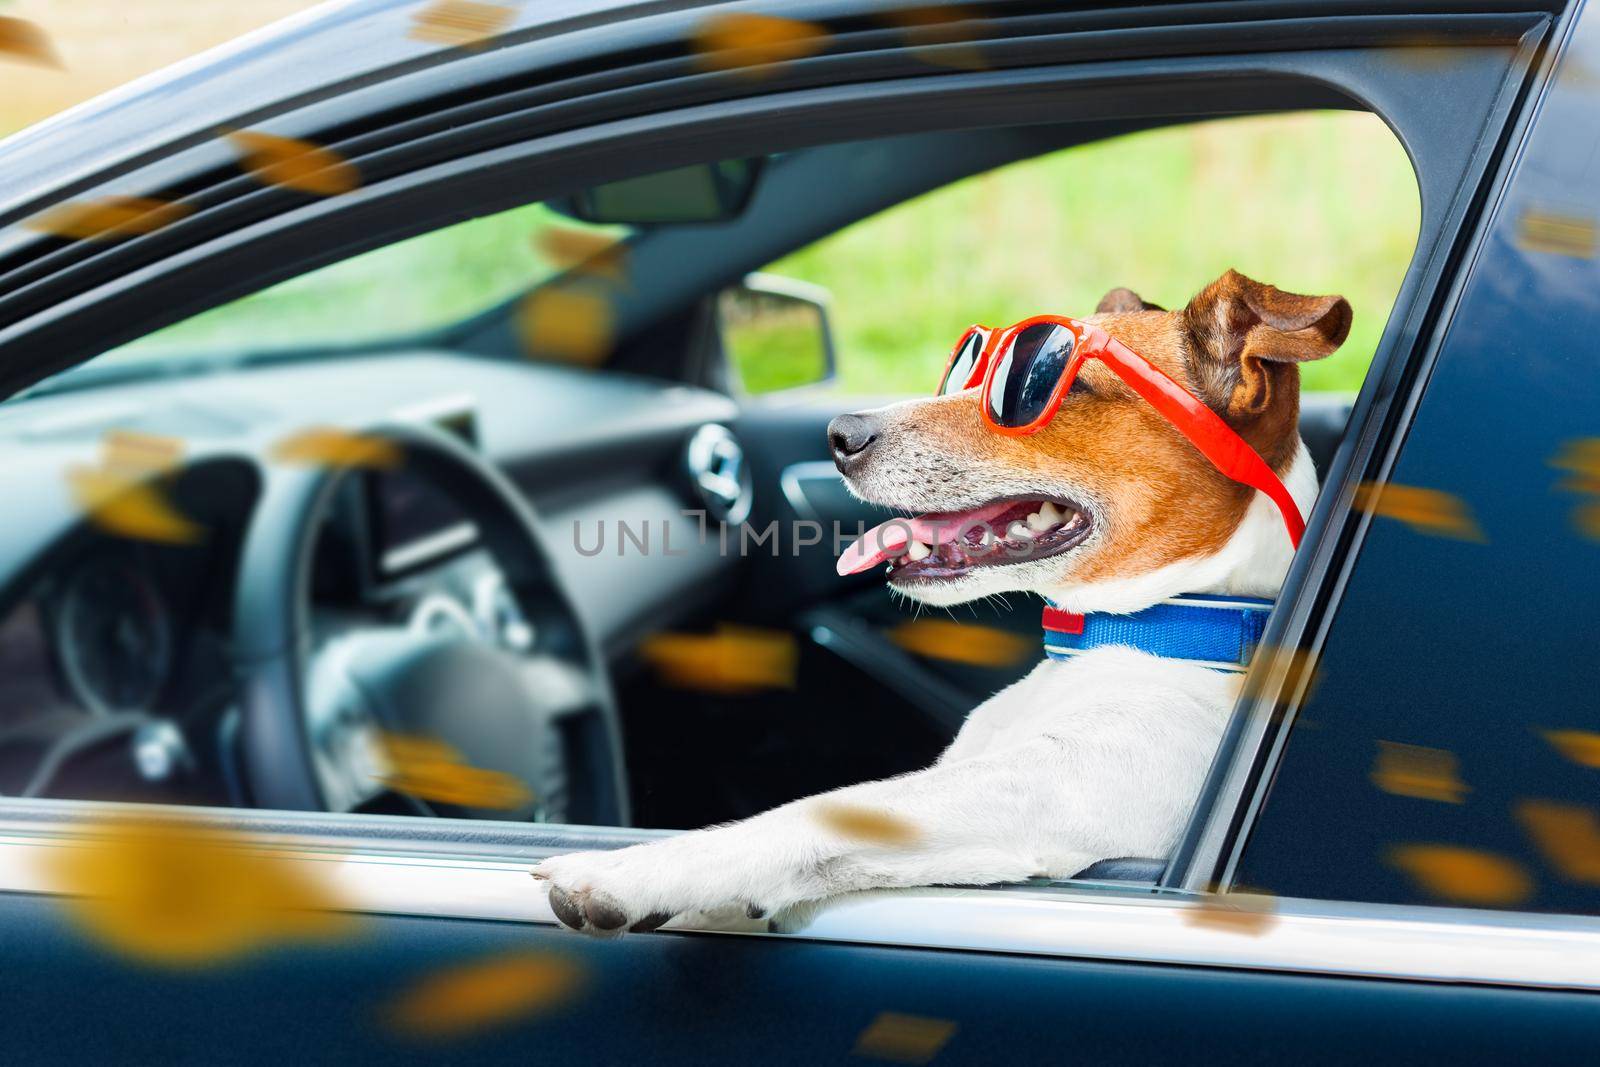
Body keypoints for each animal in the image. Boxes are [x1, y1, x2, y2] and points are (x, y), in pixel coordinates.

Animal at [534, 271, 1350, 940]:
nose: (840, 433)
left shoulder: (1054, 791)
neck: (1145, 631)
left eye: (1045, 384)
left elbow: (813, 809)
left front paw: (627, 871)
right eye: (971, 365)